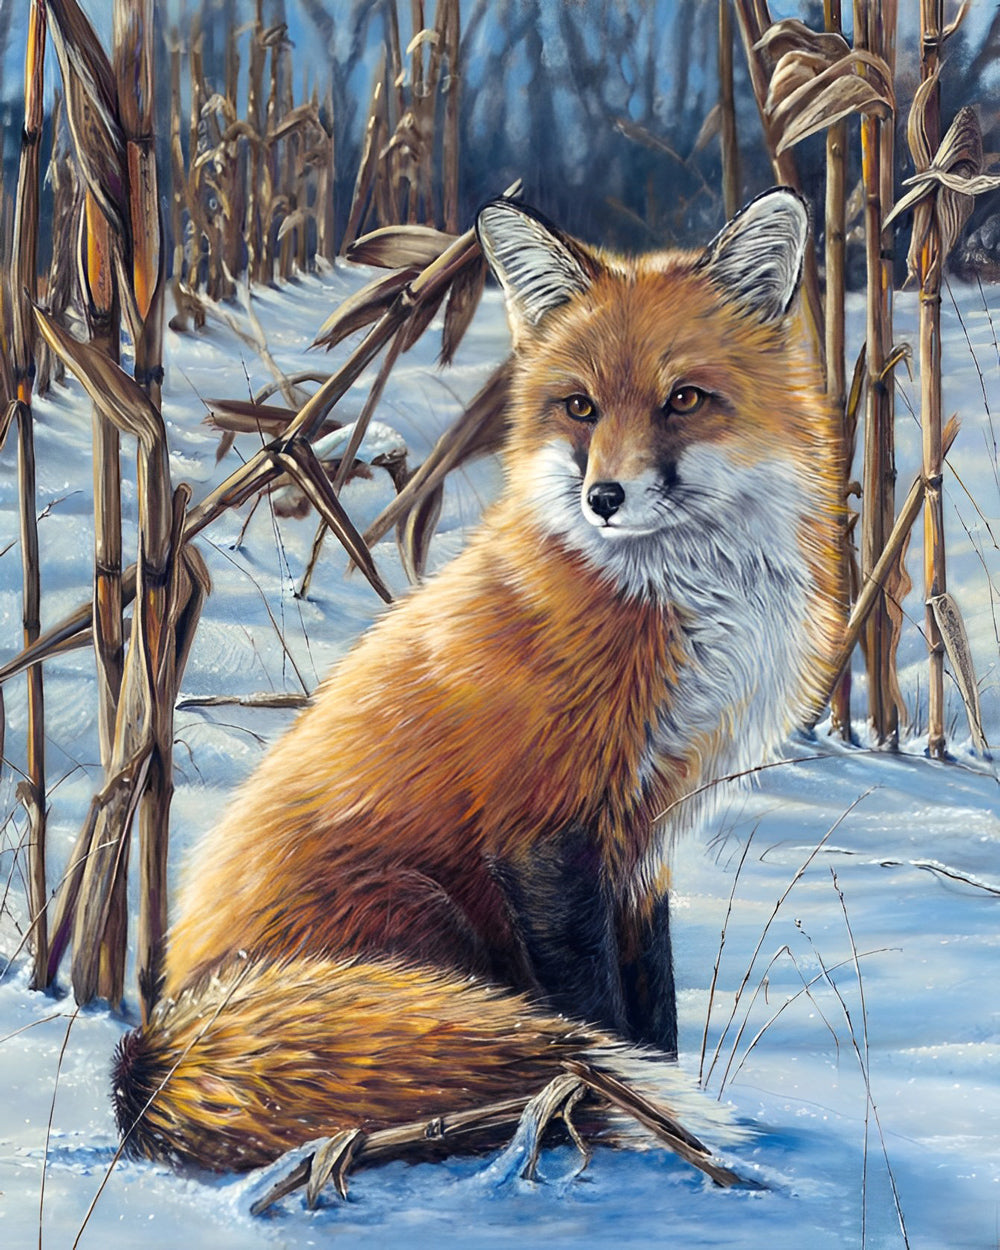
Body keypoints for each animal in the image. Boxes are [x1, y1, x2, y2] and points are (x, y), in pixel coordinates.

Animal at [112, 189, 842, 1175]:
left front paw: (662, 1111)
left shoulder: (643, 838)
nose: (604, 498)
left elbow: (653, 1011)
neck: (673, 602)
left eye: (684, 400)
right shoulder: (544, 831)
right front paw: (645, 1126)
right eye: (579, 408)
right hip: (423, 913)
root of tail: (159, 1042)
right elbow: (598, 1014)